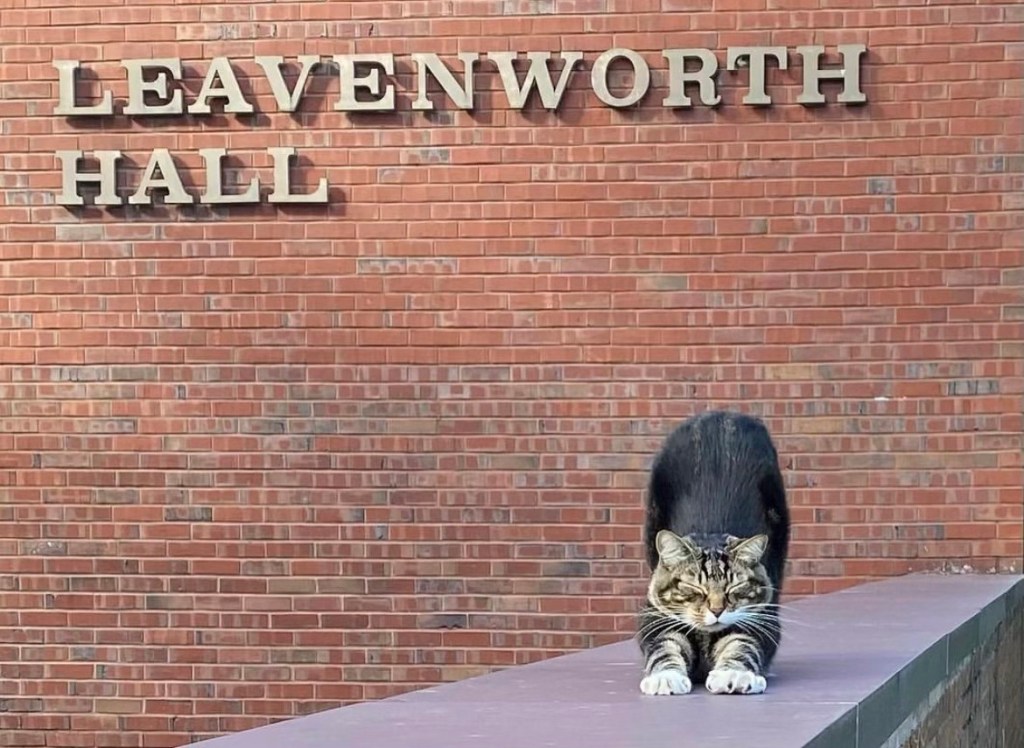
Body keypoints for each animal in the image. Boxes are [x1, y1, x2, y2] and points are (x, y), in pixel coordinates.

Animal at [630, 407, 790, 692]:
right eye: (693, 587)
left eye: (735, 587)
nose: (717, 610)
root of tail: (721, 414)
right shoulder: (656, 619)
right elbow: (664, 647)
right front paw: (665, 677)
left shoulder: (760, 620)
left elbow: (742, 645)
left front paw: (735, 674)